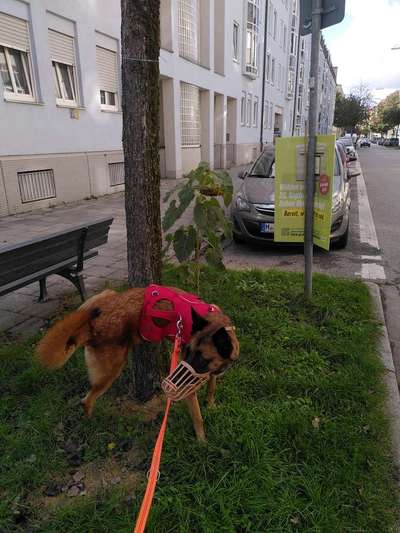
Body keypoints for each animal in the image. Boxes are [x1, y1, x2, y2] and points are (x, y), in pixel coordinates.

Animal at [36, 286, 239, 440]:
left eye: (203, 359)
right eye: (186, 352)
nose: (168, 387)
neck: (216, 323)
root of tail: (92, 323)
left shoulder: (207, 372)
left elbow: (212, 386)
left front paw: (211, 405)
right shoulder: (188, 385)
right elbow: (198, 417)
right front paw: (202, 443)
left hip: (103, 295)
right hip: (111, 370)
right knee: (86, 399)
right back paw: (89, 423)